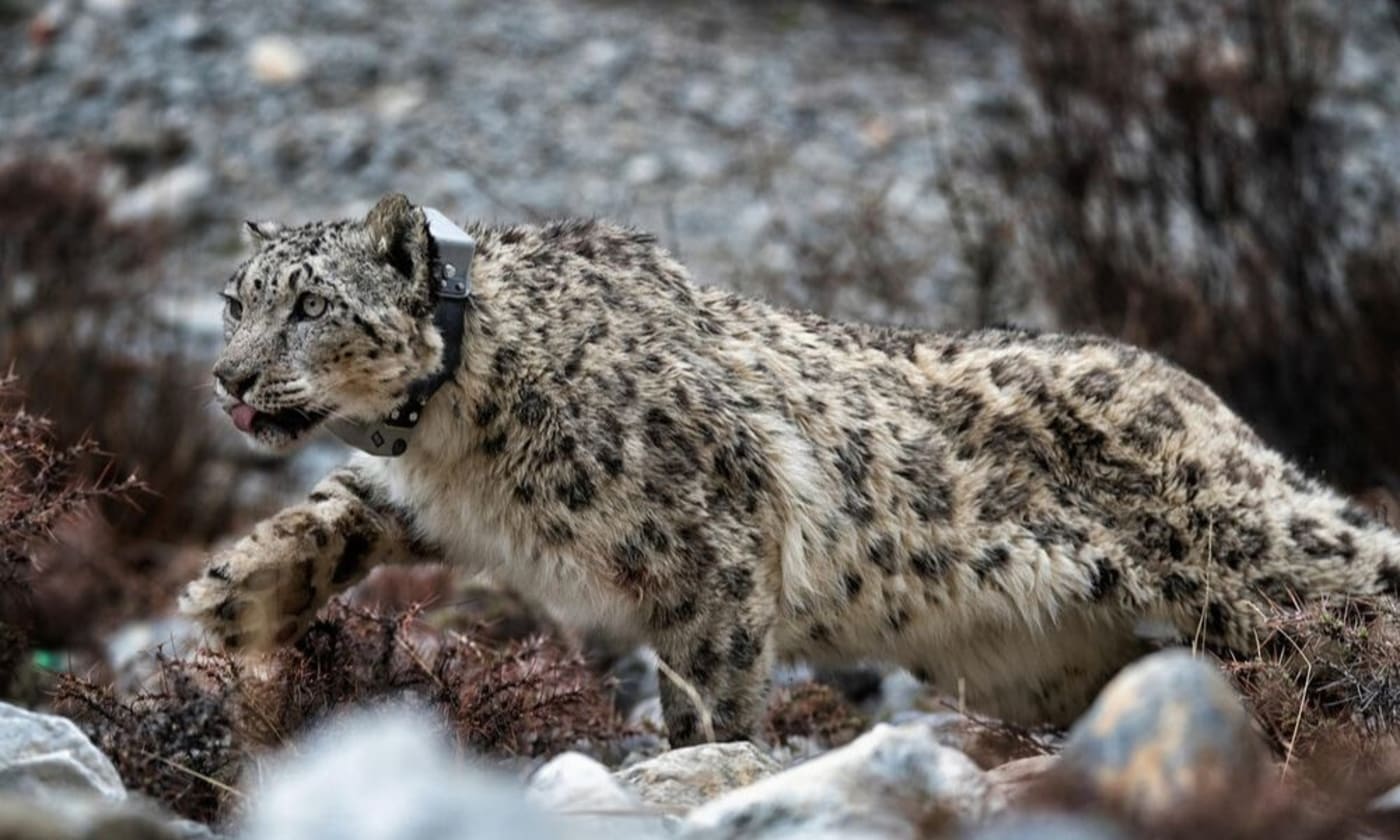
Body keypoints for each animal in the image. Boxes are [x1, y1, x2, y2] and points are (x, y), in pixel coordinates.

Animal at [181, 193, 1400, 744]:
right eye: (234, 299)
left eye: (310, 306)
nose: (228, 378)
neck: (450, 442)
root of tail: (1198, 394)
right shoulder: (426, 495)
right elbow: (341, 502)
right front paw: (236, 592)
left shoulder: (706, 544)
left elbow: (708, 682)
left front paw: (698, 763)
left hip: (1259, 560)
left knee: (1357, 583)